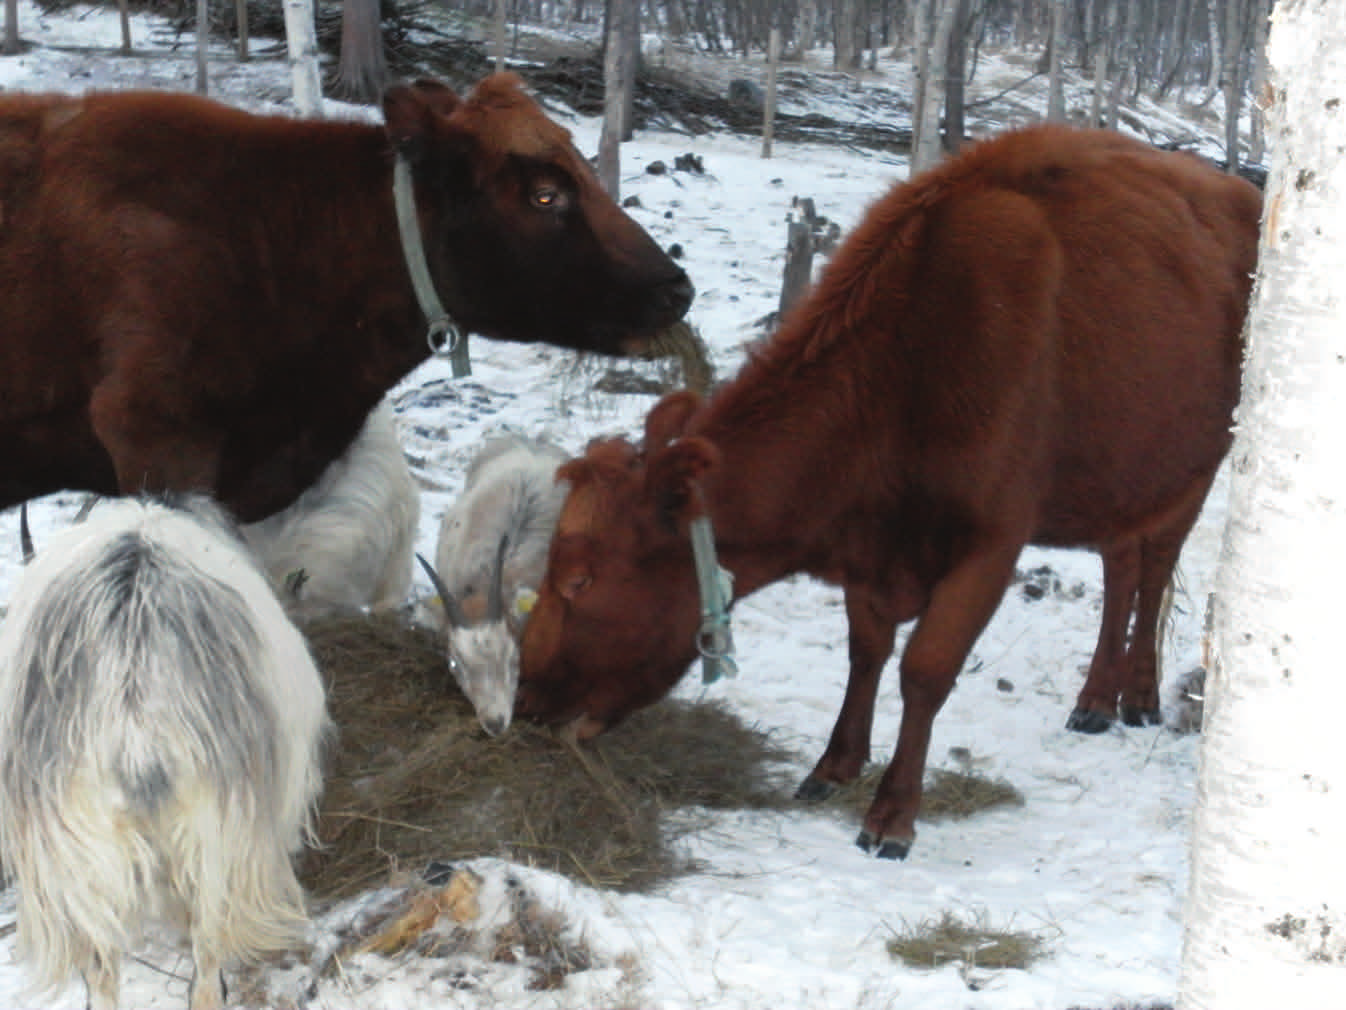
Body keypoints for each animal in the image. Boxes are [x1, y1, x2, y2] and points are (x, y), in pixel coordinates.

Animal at [514, 124, 1259, 861]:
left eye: (579, 580)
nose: (525, 703)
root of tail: (1240, 189)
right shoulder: (867, 544)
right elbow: (866, 651)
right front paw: (835, 764)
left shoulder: (990, 542)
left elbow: (925, 669)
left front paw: (892, 814)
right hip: (1122, 473)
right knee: (1121, 567)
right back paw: (1097, 697)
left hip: (1197, 463)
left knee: (1155, 568)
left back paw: (1138, 695)